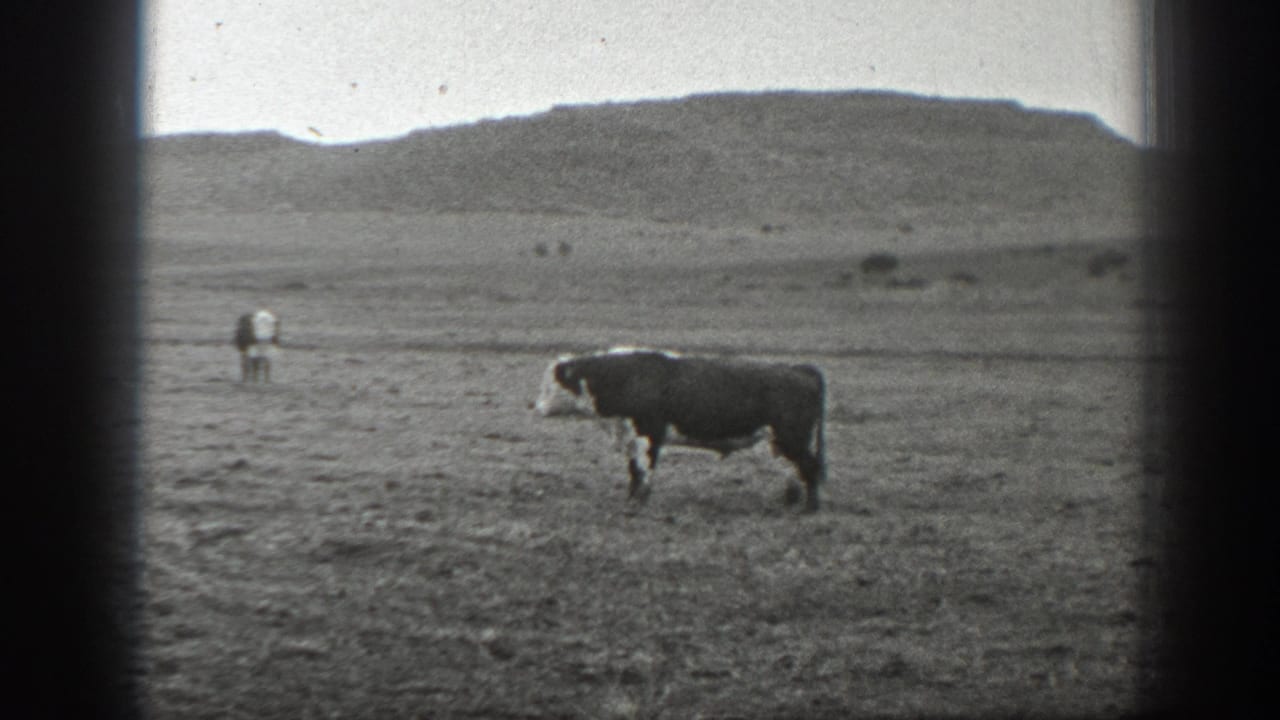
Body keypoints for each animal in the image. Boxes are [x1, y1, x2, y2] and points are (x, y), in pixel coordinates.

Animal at [535, 348, 827, 511]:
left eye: (551, 384)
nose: (534, 406)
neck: (625, 378)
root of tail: (798, 369)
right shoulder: (632, 439)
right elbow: (633, 470)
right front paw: (631, 498)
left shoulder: (649, 435)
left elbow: (644, 470)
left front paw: (639, 501)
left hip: (793, 438)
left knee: (810, 468)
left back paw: (809, 508)